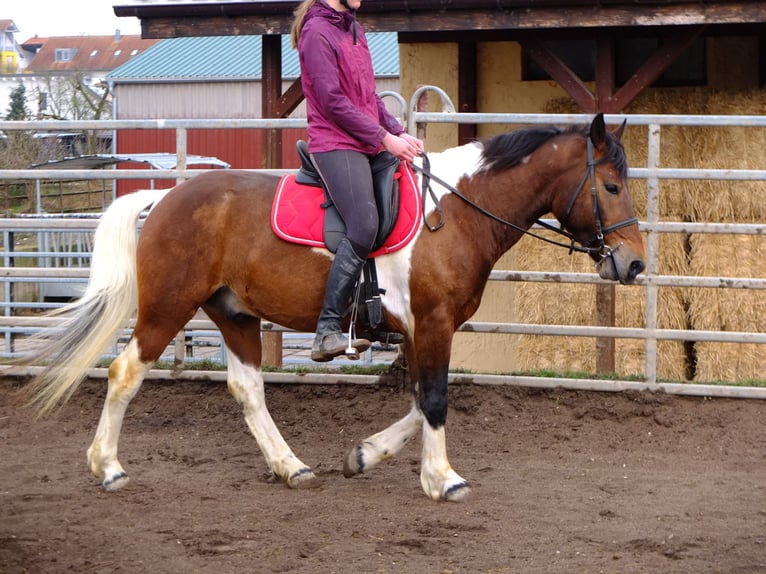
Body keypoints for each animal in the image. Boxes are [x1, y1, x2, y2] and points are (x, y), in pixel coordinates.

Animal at [22, 115, 648, 502]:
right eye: (612, 187)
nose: (635, 264)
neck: (456, 211)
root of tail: (166, 197)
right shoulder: (434, 323)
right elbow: (436, 400)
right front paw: (442, 479)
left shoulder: (421, 329)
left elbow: (421, 401)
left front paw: (365, 456)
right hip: (166, 308)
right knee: (124, 373)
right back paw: (108, 468)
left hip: (235, 314)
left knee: (247, 389)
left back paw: (291, 467)